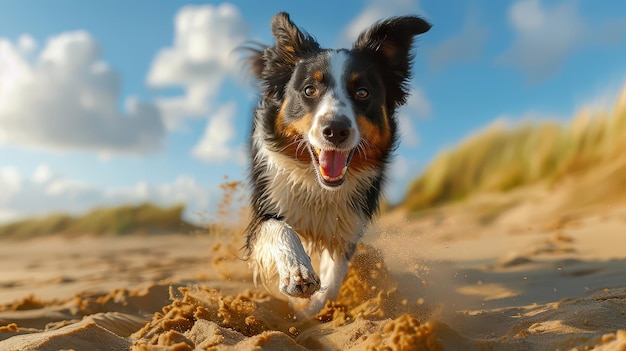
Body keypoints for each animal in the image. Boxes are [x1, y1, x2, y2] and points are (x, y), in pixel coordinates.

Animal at [243, 12, 428, 318]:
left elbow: (333, 277)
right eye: (309, 89)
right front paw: (298, 274)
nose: (336, 130)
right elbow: (279, 229)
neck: (317, 186)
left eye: (362, 92)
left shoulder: (348, 223)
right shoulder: (266, 206)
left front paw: (310, 309)